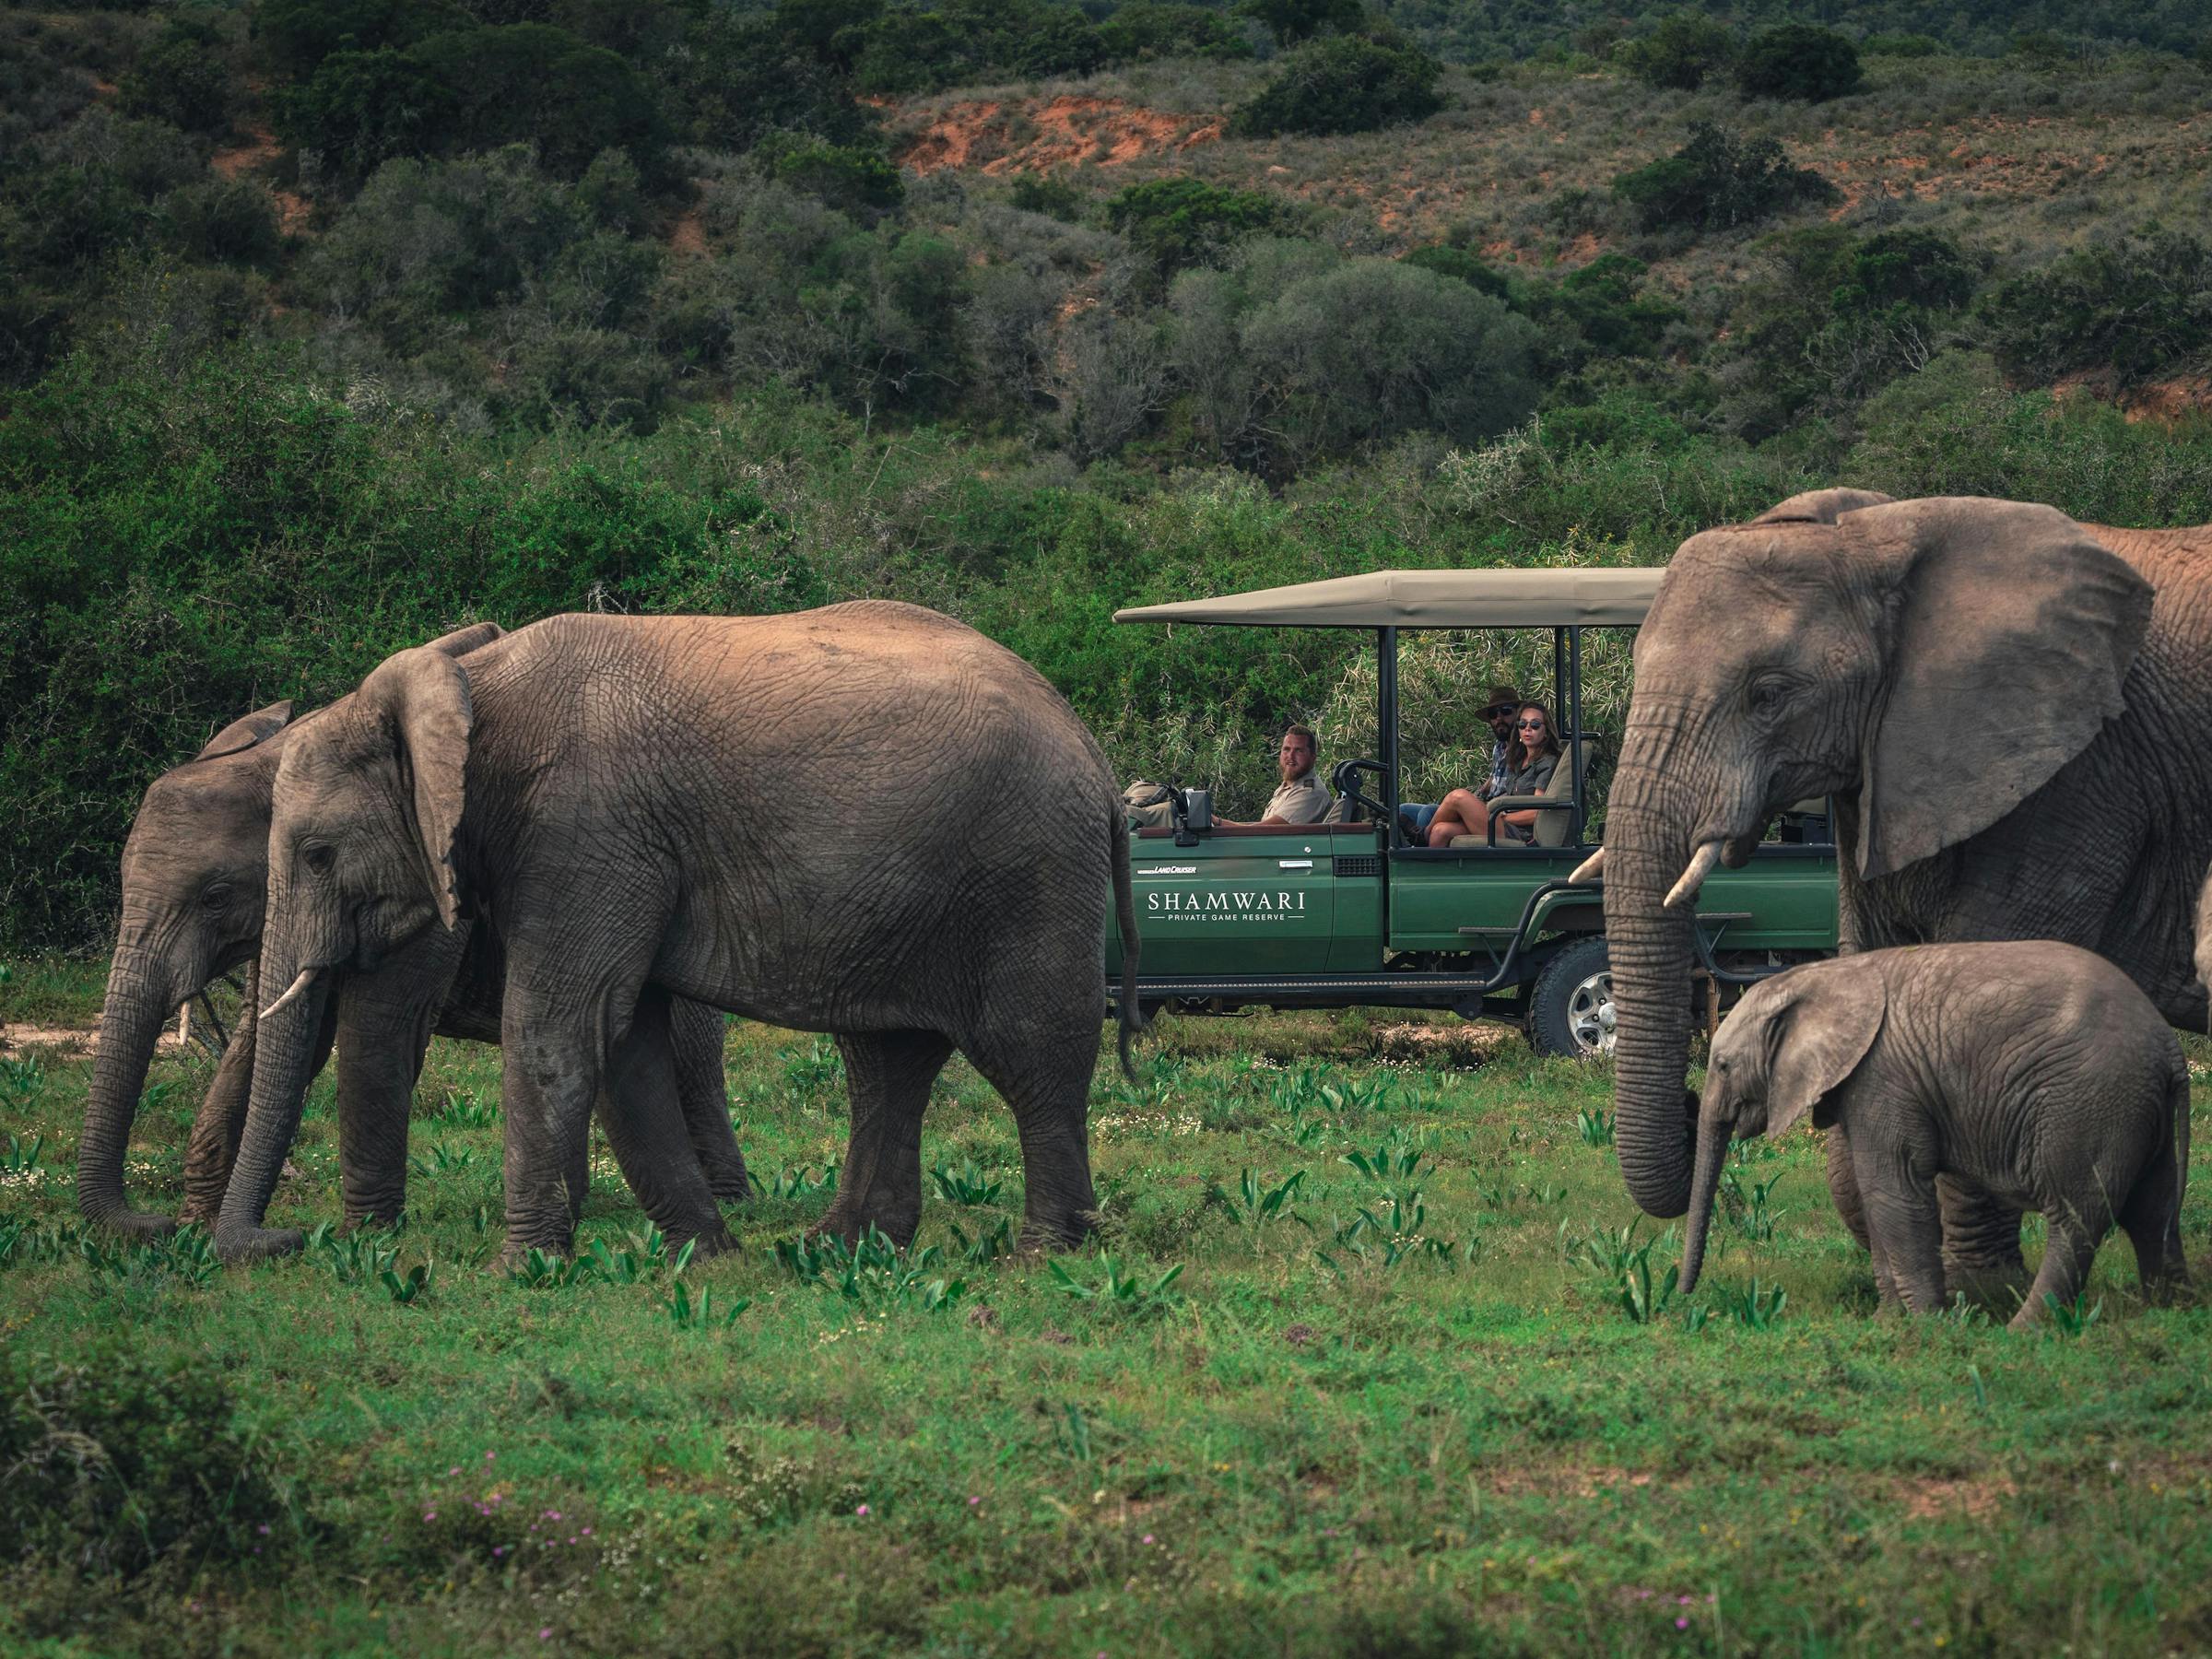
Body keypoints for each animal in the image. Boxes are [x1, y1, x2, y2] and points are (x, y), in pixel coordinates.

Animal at [76, 622, 754, 1244]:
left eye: (213, 897)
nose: (154, 1223)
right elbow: (270, 1037)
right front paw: (199, 1228)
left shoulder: (422, 903)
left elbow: (374, 1031)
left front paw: (367, 1240)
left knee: (689, 1056)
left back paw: (730, 1201)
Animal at [214, 601, 1141, 1267]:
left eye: (318, 854)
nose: (283, 1241)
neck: (468, 687)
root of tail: (1093, 753)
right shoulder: (612, 849)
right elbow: (628, 1042)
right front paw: (708, 1257)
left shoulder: (586, 831)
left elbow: (562, 1027)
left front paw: (522, 1270)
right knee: (885, 1061)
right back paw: (839, 1249)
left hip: (1028, 874)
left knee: (1032, 1050)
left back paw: (1040, 1256)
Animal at [1679, 944, 2190, 1330]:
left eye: (1722, 1065)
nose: (1682, 1299)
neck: (1818, 977)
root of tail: (2169, 1049)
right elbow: (1874, 1193)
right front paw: (1888, 1323)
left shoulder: (1883, 1078)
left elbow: (1893, 1191)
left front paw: (1930, 1326)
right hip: (2134, 1108)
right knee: (2153, 1211)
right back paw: (2165, 1316)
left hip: (2089, 1105)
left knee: (2075, 1219)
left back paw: (2021, 1330)